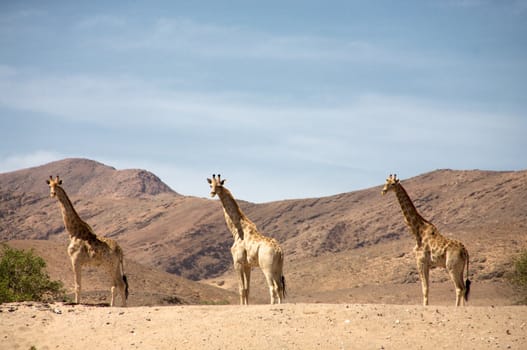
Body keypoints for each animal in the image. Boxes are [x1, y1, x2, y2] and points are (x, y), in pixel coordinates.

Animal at [47, 176, 130, 304]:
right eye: (50, 185)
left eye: (57, 185)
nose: (53, 194)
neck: (74, 233)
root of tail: (120, 251)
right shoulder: (77, 261)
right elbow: (78, 285)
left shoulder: (75, 260)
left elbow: (77, 286)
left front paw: (77, 303)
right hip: (113, 266)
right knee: (118, 285)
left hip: (110, 265)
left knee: (119, 285)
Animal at [208, 174, 286, 304]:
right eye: (210, 185)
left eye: (219, 185)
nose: (212, 193)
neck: (237, 230)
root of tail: (279, 251)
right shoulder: (247, 265)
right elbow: (247, 288)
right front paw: (247, 305)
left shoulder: (238, 262)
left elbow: (241, 288)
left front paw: (242, 305)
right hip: (278, 267)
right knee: (279, 286)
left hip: (267, 267)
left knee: (273, 287)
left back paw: (272, 305)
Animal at [384, 175, 470, 306]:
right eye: (386, 182)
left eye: (393, 184)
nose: (383, 191)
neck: (417, 231)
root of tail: (465, 252)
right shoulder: (428, 264)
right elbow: (427, 287)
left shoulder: (420, 261)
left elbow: (424, 288)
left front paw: (425, 306)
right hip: (460, 268)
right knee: (464, 288)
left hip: (451, 267)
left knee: (459, 288)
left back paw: (456, 307)